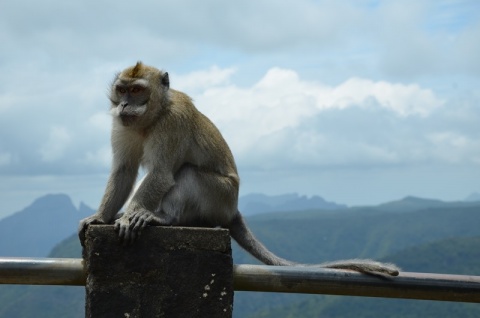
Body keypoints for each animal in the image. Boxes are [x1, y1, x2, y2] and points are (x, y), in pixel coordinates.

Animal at [79, 61, 400, 276]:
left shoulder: (173, 122)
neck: (152, 116)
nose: (123, 106)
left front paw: (131, 215)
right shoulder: (122, 125)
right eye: (122, 90)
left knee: (188, 173)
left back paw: (162, 217)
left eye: (136, 90)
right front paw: (100, 216)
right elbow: (123, 170)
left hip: (220, 196)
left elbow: (161, 174)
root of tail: (232, 210)